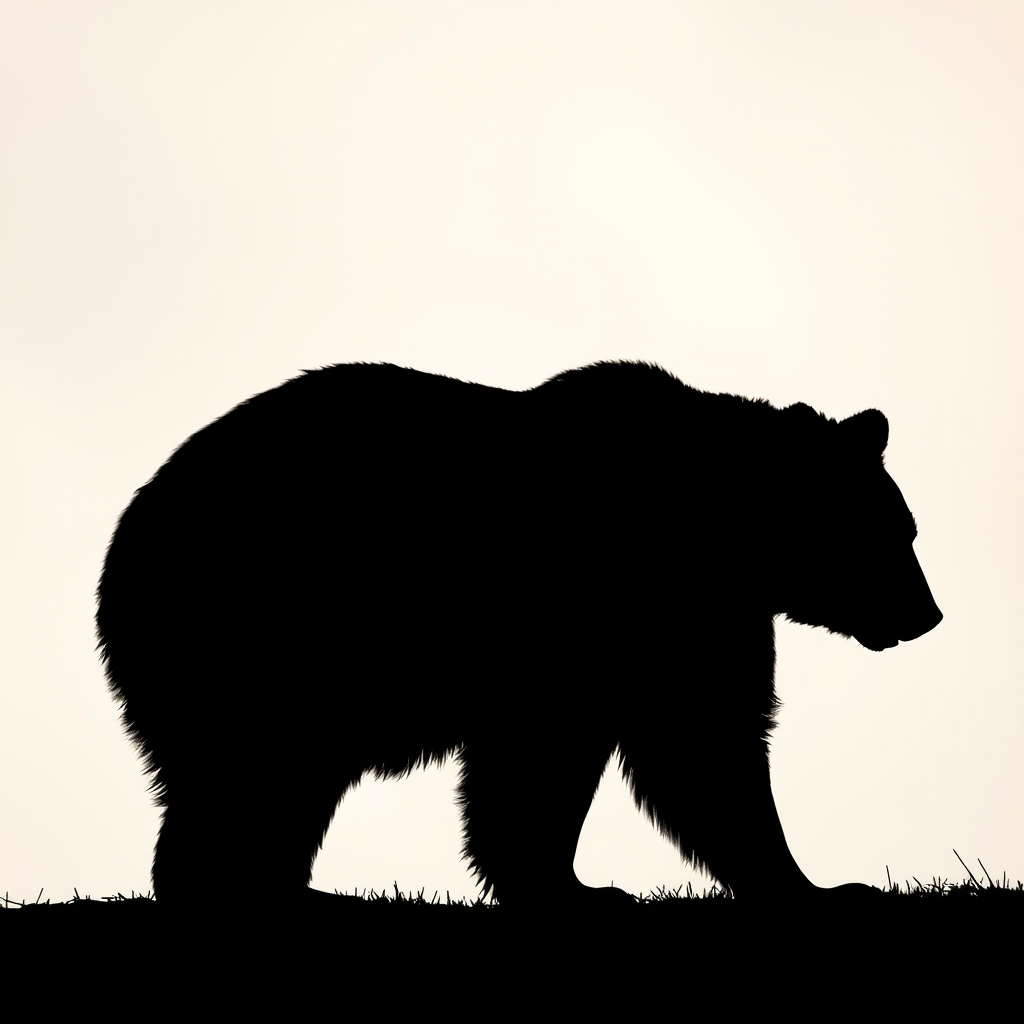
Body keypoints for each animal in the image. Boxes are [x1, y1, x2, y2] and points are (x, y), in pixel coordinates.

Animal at [96, 360, 942, 909]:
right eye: (894, 534)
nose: (928, 613)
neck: (725, 532)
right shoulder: (606, 606)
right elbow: (635, 751)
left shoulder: (692, 622)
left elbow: (692, 740)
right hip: (260, 625)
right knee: (254, 766)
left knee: (275, 779)